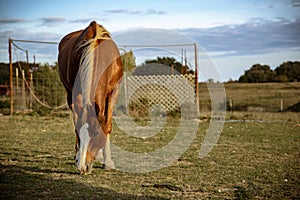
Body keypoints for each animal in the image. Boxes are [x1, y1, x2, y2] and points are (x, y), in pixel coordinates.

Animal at [57, 20, 123, 173]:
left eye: (95, 133)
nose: (83, 167)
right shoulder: (76, 94)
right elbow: (77, 124)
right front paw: (78, 157)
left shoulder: (113, 92)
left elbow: (107, 125)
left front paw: (108, 162)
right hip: (69, 94)